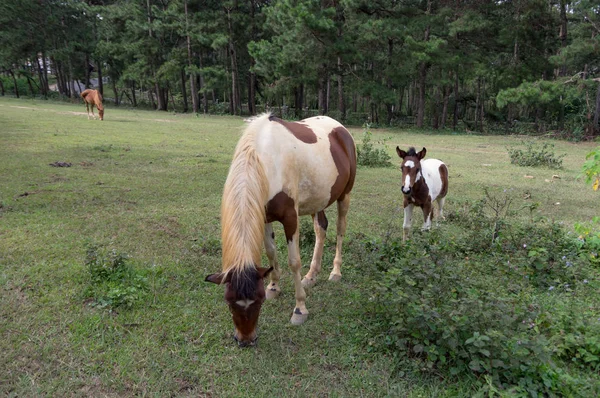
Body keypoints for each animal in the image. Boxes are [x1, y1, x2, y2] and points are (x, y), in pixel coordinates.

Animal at [206, 113, 356, 346]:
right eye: (229, 302)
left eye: (258, 302)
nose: (246, 340)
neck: (266, 159)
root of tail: (341, 129)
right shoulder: (263, 215)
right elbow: (270, 252)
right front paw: (274, 287)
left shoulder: (290, 218)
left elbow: (294, 262)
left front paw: (300, 309)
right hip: (318, 200)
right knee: (321, 229)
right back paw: (311, 276)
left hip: (344, 196)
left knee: (340, 230)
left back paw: (335, 272)